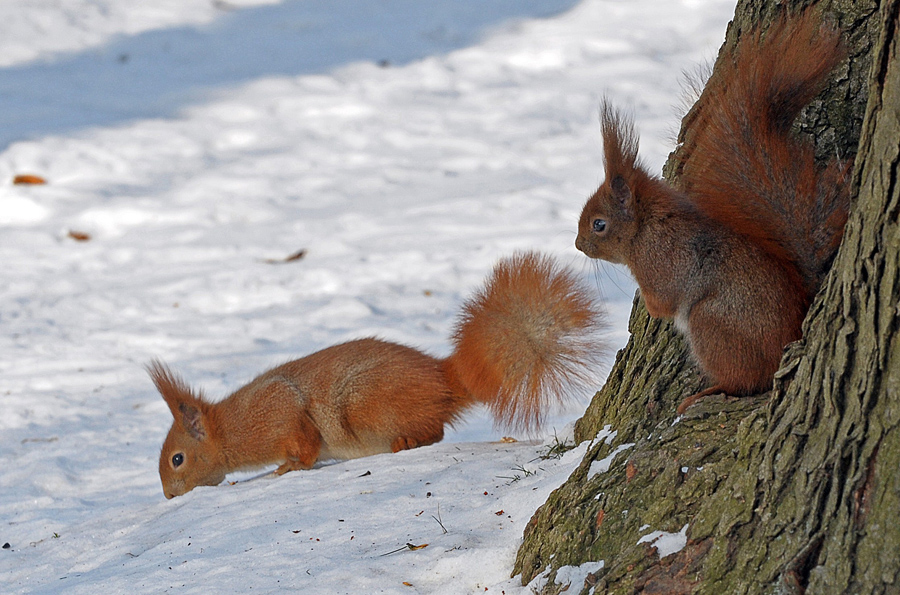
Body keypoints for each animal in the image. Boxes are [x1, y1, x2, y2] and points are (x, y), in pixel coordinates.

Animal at [149, 251, 605, 498]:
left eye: (177, 459)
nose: (169, 495)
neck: (231, 428)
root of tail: (444, 379)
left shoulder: (279, 408)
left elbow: (305, 444)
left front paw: (288, 468)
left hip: (365, 405)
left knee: (434, 431)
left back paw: (406, 442)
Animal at [574, 10, 850, 414]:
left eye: (599, 224)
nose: (578, 245)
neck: (645, 228)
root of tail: (789, 338)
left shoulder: (661, 261)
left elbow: (663, 301)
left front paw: (646, 304)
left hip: (710, 325)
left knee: (746, 382)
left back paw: (708, 391)